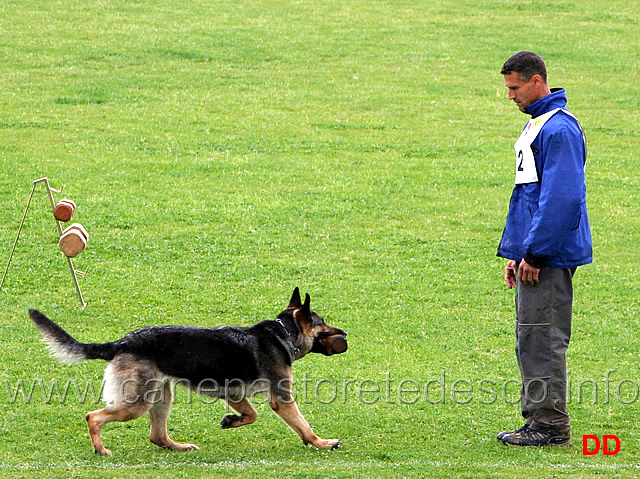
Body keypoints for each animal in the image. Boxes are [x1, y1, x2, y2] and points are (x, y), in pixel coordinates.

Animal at [29, 288, 348, 458]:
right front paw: (321, 443)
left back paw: (178, 446)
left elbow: (252, 414)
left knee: (157, 435)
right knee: (93, 416)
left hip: (161, 396)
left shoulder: (233, 394)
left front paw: (232, 421)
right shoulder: (281, 399)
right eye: (322, 323)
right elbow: (303, 425)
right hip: (136, 404)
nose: (345, 334)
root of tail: (122, 342)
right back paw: (100, 449)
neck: (283, 333)